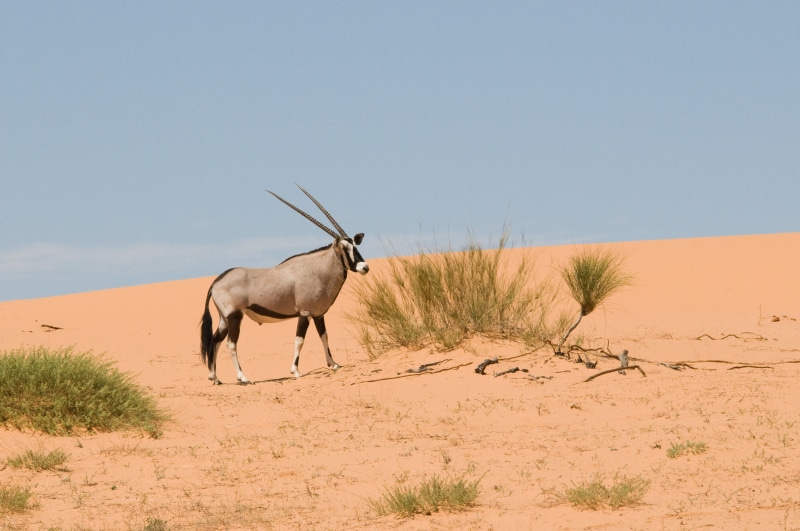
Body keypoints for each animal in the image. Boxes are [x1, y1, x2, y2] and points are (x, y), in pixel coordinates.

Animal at [199, 185, 369, 384]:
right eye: (344, 248)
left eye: (355, 245)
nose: (364, 267)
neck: (319, 268)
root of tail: (215, 283)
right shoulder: (304, 313)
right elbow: (299, 340)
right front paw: (295, 371)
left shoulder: (318, 315)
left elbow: (324, 336)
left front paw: (334, 364)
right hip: (234, 316)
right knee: (230, 344)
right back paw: (243, 377)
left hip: (224, 319)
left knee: (215, 340)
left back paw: (215, 377)